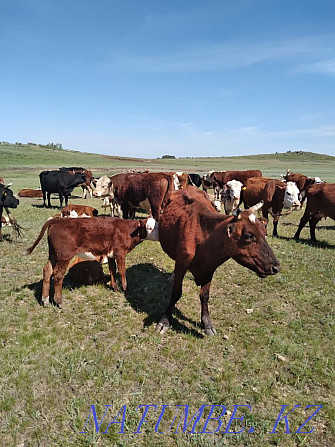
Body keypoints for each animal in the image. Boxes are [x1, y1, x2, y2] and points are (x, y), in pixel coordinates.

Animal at [25, 216, 159, 308]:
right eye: (149, 227)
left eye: (157, 225)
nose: (160, 235)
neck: (128, 231)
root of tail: (58, 220)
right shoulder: (120, 253)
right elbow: (122, 271)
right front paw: (125, 289)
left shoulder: (111, 254)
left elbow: (112, 269)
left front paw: (114, 287)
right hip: (64, 256)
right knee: (57, 275)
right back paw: (59, 302)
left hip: (53, 254)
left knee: (47, 271)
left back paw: (45, 300)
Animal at [157, 186, 280, 336]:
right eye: (248, 235)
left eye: (264, 231)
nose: (276, 267)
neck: (203, 237)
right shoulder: (182, 263)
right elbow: (176, 292)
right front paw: (164, 320)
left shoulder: (210, 268)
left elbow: (204, 296)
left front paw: (207, 323)